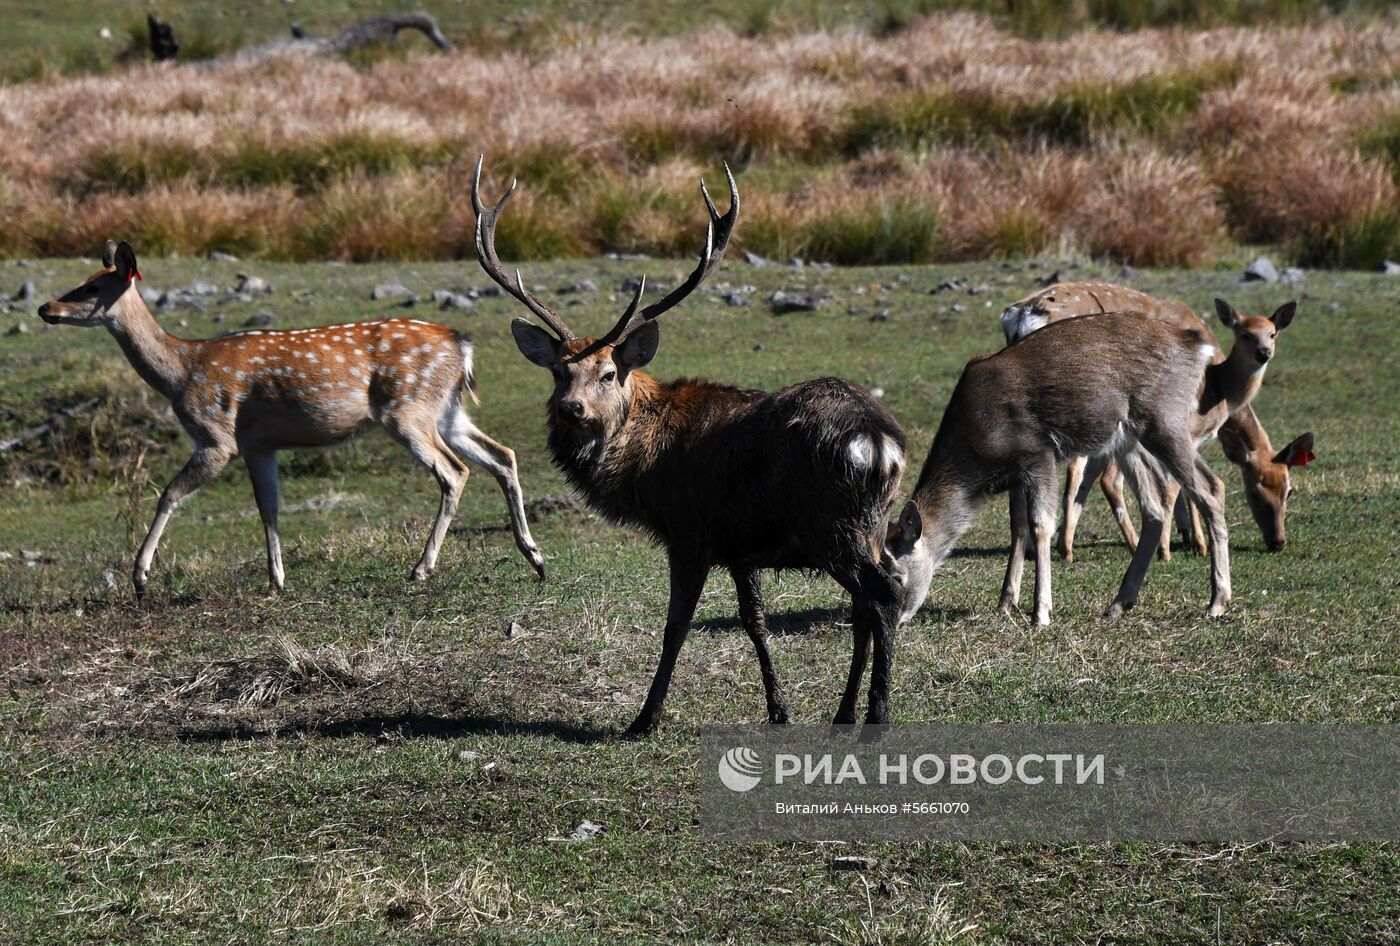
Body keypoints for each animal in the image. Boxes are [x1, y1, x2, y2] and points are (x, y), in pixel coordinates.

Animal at [38, 243, 540, 598]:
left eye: (91, 288)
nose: (47, 308)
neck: (182, 372)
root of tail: (463, 345)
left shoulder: (218, 438)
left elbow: (170, 494)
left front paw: (140, 576)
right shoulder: (260, 445)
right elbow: (269, 508)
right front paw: (276, 580)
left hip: (408, 409)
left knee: (455, 470)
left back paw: (421, 568)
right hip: (448, 409)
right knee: (502, 455)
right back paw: (534, 556)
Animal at [470, 156, 907, 733]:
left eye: (608, 373)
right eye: (559, 373)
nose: (572, 409)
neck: (645, 465)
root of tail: (878, 441)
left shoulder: (689, 531)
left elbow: (675, 625)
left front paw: (644, 718)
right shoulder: (741, 546)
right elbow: (754, 620)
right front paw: (778, 709)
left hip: (833, 523)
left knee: (885, 594)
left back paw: (876, 714)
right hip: (869, 523)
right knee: (865, 608)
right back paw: (843, 712)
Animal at [884, 310, 1237, 632]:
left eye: (896, 576)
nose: (894, 622)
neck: (976, 457)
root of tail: (1197, 347)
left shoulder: (1038, 452)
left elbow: (1041, 524)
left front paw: (1040, 613)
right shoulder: (1016, 472)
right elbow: (1017, 527)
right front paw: (1005, 603)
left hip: (1165, 418)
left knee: (1210, 487)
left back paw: (1217, 602)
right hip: (1128, 439)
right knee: (1156, 504)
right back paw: (1119, 603)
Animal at [996, 281, 1310, 562]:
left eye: (1288, 491)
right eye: (1254, 493)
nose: (1277, 542)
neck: (1218, 387)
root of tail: (1022, 315)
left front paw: (1183, 533)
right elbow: (1176, 484)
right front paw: (1192, 543)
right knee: (1088, 474)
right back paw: (1130, 544)